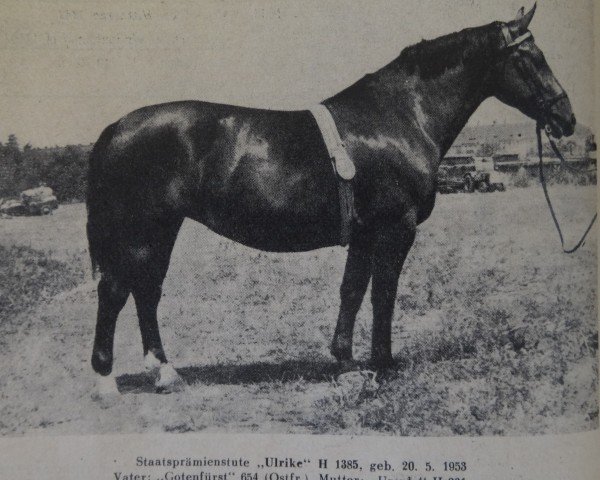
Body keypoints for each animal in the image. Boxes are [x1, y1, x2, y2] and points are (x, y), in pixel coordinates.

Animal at [86, 5, 576, 396]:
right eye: (531, 57)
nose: (566, 117)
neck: (400, 117)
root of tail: (116, 127)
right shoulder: (395, 228)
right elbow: (383, 294)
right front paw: (383, 365)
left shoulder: (363, 233)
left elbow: (352, 291)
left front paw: (344, 361)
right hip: (139, 231)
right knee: (115, 292)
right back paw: (107, 382)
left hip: (161, 230)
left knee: (147, 291)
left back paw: (165, 373)